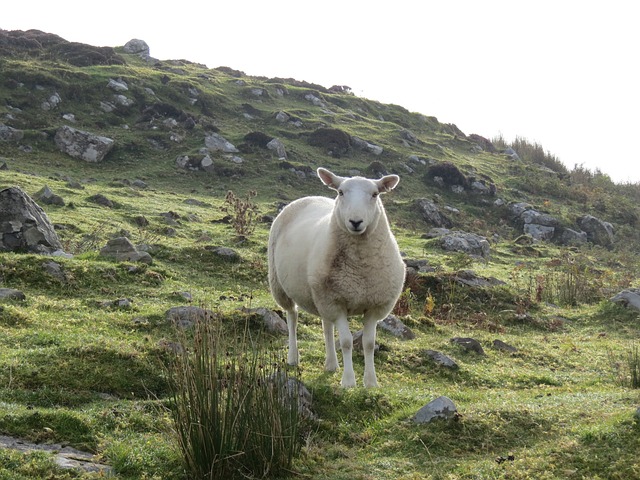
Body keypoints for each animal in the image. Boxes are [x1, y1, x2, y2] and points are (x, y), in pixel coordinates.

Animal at [268, 168, 402, 386]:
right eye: (340, 192)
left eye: (375, 194)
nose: (355, 222)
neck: (360, 269)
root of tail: (309, 197)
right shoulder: (336, 303)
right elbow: (346, 342)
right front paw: (348, 381)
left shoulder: (373, 306)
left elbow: (369, 343)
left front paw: (371, 382)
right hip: (281, 286)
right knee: (292, 318)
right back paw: (293, 357)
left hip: (321, 294)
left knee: (326, 327)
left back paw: (331, 364)